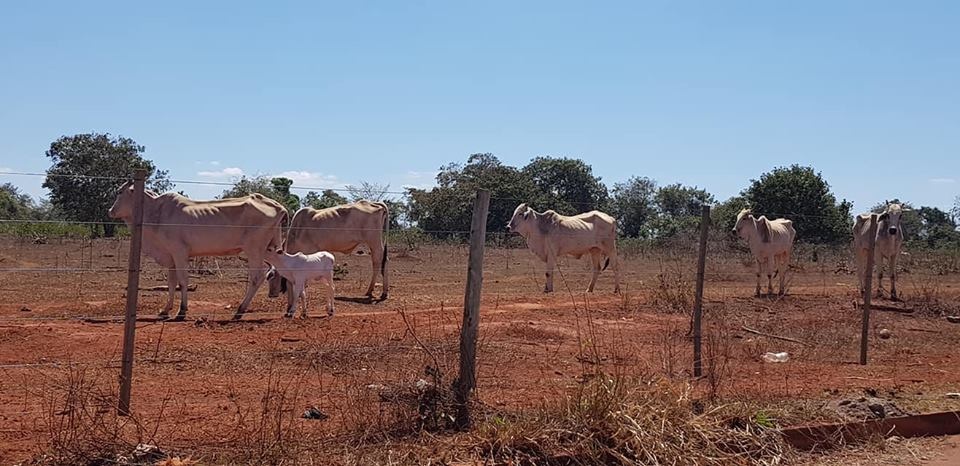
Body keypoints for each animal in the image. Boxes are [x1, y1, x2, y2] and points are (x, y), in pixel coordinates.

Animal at [109, 184, 286, 322]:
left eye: (120, 192)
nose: (110, 211)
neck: (156, 212)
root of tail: (278, 206)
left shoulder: (179, 252)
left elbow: (182, 281)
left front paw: (181, 311)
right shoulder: (171, 257)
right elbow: (171, 283)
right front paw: (165, 310)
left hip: (254, 250)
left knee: (257, 276)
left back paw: (239, 310)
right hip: (267, 250)